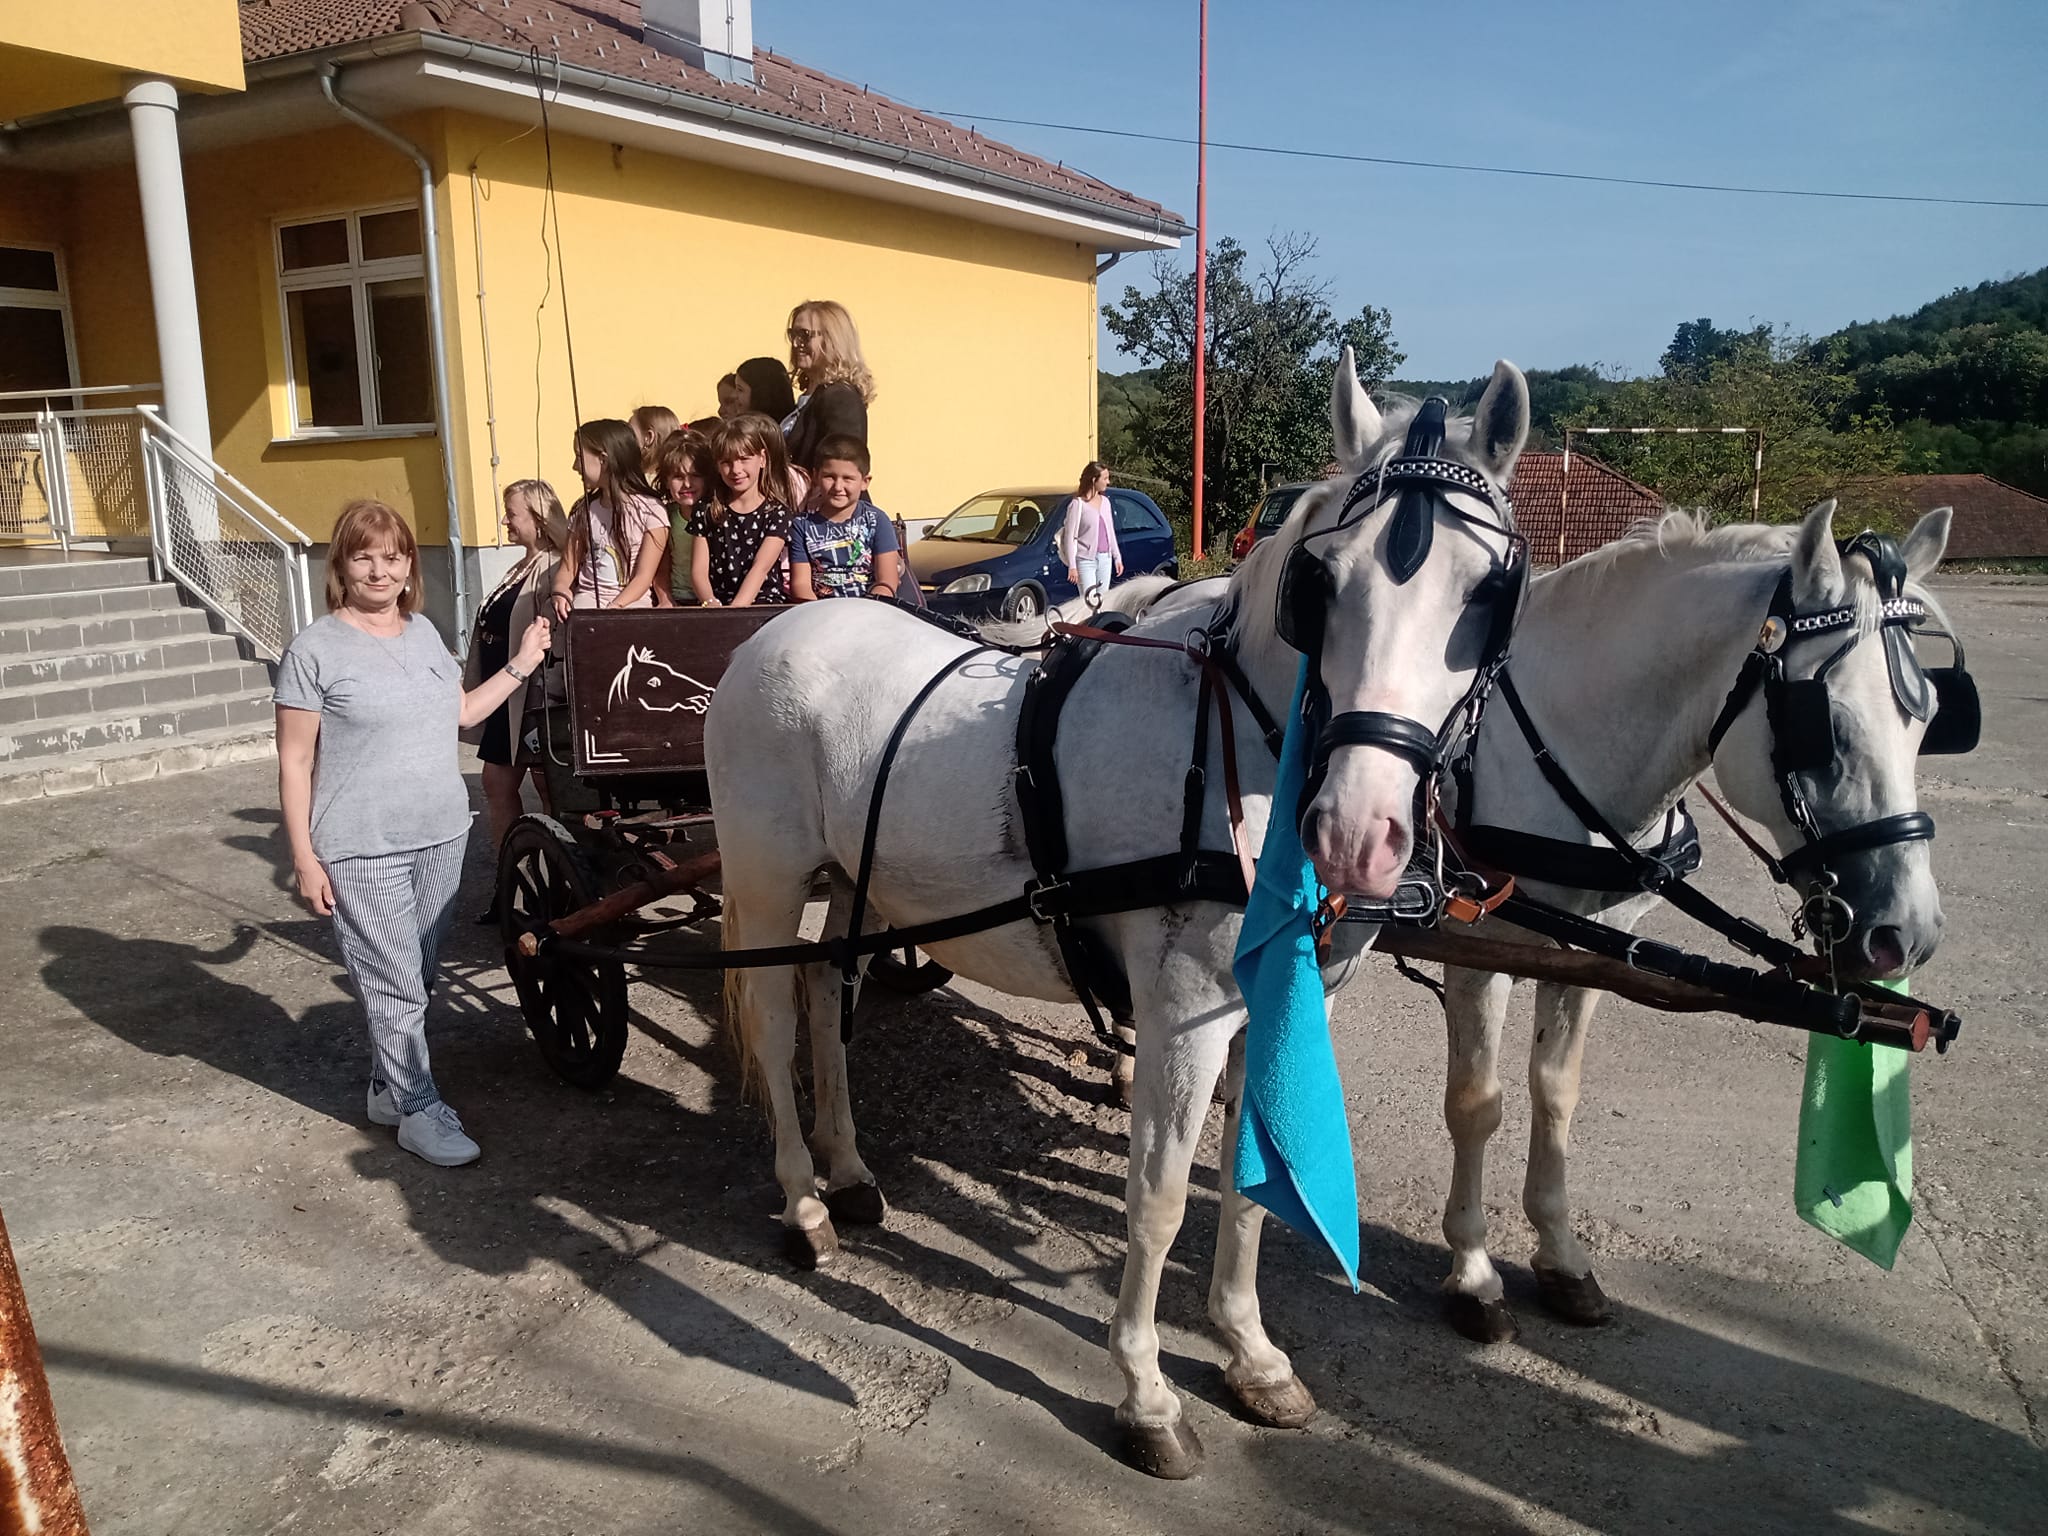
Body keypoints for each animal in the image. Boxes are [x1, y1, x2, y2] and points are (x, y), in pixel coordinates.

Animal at [705, 352, 1534, 1477]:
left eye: (1489, 593)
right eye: (1323, 586)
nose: (1358, 831)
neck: (1240, 745)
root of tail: (775, 634)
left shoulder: (1273, 1003)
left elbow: (1249, 1184)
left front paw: (1250, 1355)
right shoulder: (1183, 1013)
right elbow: (1162, 1195)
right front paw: (1144, 1392)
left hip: (856, 885)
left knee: (827, 998)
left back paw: (848, 1171)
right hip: (765, 880)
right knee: (773, 1017)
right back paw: (799, 1199)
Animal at [1431, 499, 1961, 1342]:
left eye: (1932, 718)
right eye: (1824, 725)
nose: (1907, 934)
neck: (1549, 745)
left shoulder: (1584, 949)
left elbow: (1556, 1092)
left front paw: (1560, 1255)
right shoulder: (1480, 944)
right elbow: (1477, 1106)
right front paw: (1474, 1273)